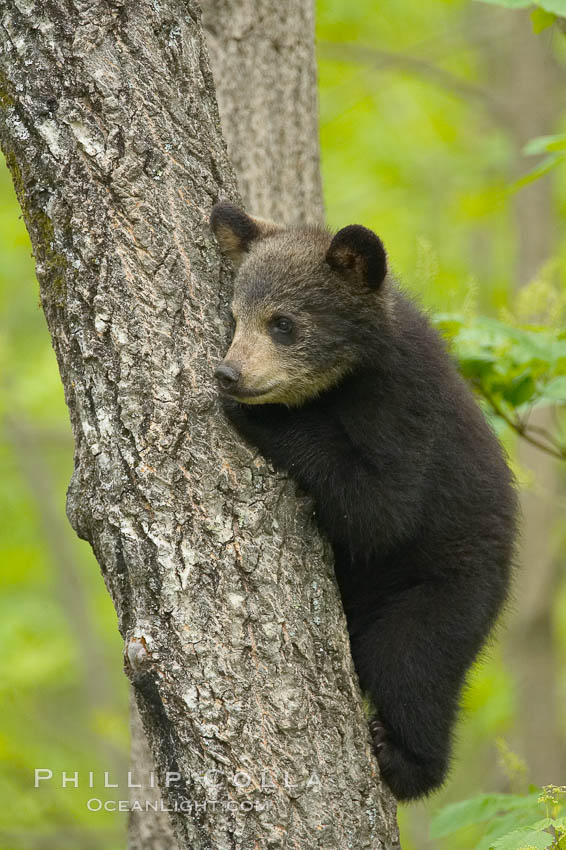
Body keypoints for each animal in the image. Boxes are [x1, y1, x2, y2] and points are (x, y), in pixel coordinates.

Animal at [210, 200, 518, 802]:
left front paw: (271, 417)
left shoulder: (405, 407)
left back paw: (406, 760)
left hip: (447, 585)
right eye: (236, 318)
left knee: (414, 664)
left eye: (283, 323)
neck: (352, 374)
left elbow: (381, 509)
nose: (229, 374)